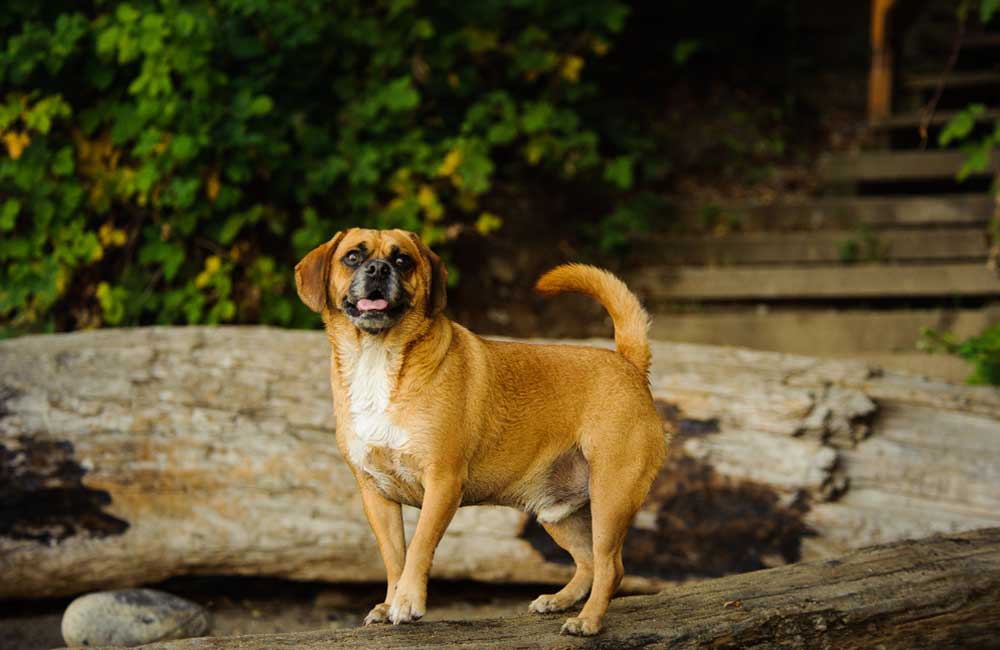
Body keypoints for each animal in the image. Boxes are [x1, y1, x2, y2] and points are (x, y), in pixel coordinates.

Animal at [296, 227, 672, 632]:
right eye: (352, 257)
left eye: (402, 261)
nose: (379, 269)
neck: (377, 358)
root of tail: (629, 364)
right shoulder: (376, 494)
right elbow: (394, 556)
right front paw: (390, 601)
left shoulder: (443, 482)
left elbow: (418, 548)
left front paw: (407, 602)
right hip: (557, 512)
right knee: (588, 562)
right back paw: (558, 601)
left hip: (610, 498)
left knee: (609, 566)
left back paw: (586, 621)